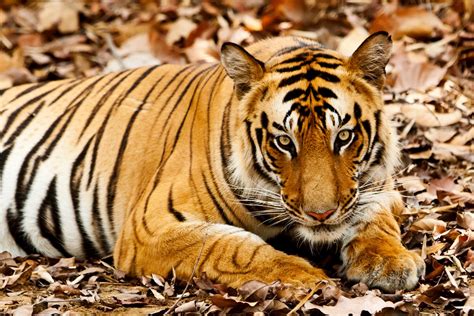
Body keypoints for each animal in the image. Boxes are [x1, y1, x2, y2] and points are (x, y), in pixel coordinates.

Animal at [0, 30, 424, 292]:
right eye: (284, 141)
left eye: (344, 137)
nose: (321, 215)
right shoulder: (150, 226)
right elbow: (232, 245)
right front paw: (302, 275)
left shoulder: (382, 188)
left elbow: (377, 221)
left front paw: (392, 262)